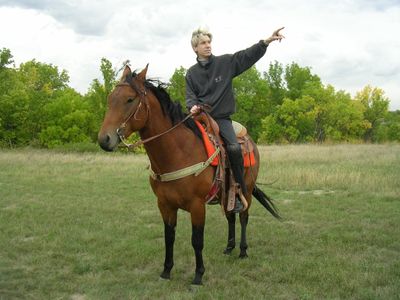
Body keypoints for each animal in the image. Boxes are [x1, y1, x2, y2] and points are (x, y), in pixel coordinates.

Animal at [98, 64, 280, 284]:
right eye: (110, 99)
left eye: (129, 99)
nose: (104, 139)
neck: (178, 153)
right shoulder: (164, 205)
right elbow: (169, 237)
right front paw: (166, 271)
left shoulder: (197, 205)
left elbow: (197, 240)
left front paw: (198, 275)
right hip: (227, 192)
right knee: (230, 216)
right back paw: (229, 247)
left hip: (246, 189)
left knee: (243, 216)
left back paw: (243, 251)